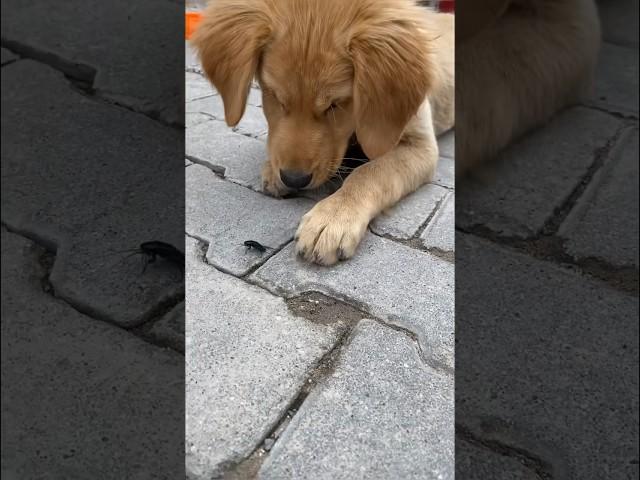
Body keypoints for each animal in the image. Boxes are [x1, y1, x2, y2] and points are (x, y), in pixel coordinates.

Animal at [191, 0, 456, 264]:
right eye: (275, 96)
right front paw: (271, 169)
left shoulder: (420, 145)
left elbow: (369, 171)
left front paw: (333, 217)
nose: (293, 179)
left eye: (335, 104)